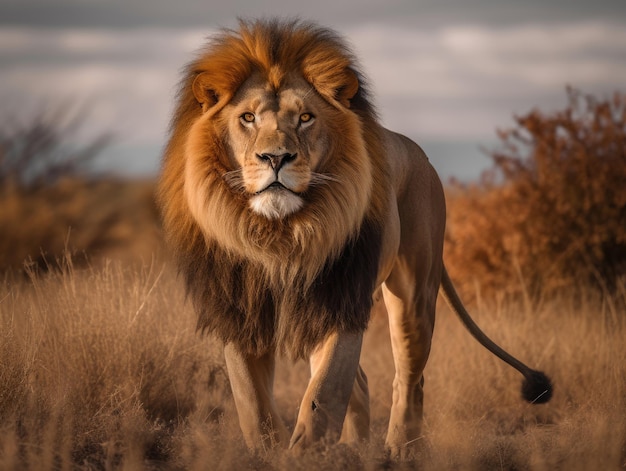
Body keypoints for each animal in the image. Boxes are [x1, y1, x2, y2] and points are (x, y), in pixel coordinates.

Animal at [157, 20, 552, 460]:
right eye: (247, 117)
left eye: (306, 118)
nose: (276, 158)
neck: (281, 235)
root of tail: (420, 154)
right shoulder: (238, 309)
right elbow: (252, 402)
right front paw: (269, 453)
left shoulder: (341, 299)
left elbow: (325, 391)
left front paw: (304, 455)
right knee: (361, 383)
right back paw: (352, 446)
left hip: (414, 294)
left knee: (409, 377)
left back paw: (400, 449)